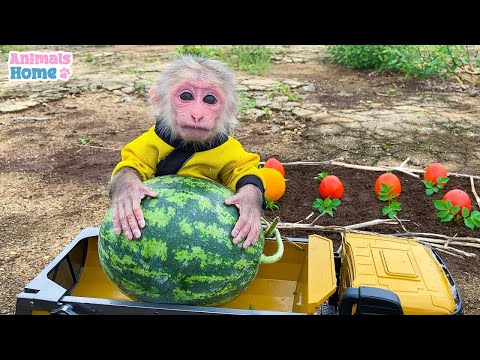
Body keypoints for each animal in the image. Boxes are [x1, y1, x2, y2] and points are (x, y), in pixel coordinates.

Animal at [109, 54, 266, 249]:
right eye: (186, 96)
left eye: (209, 99)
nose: (197, 115)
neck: (190, 145)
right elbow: (133, 162)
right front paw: (128, 195)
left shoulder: (229, 147)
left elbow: (244, 169)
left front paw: (248, 206)